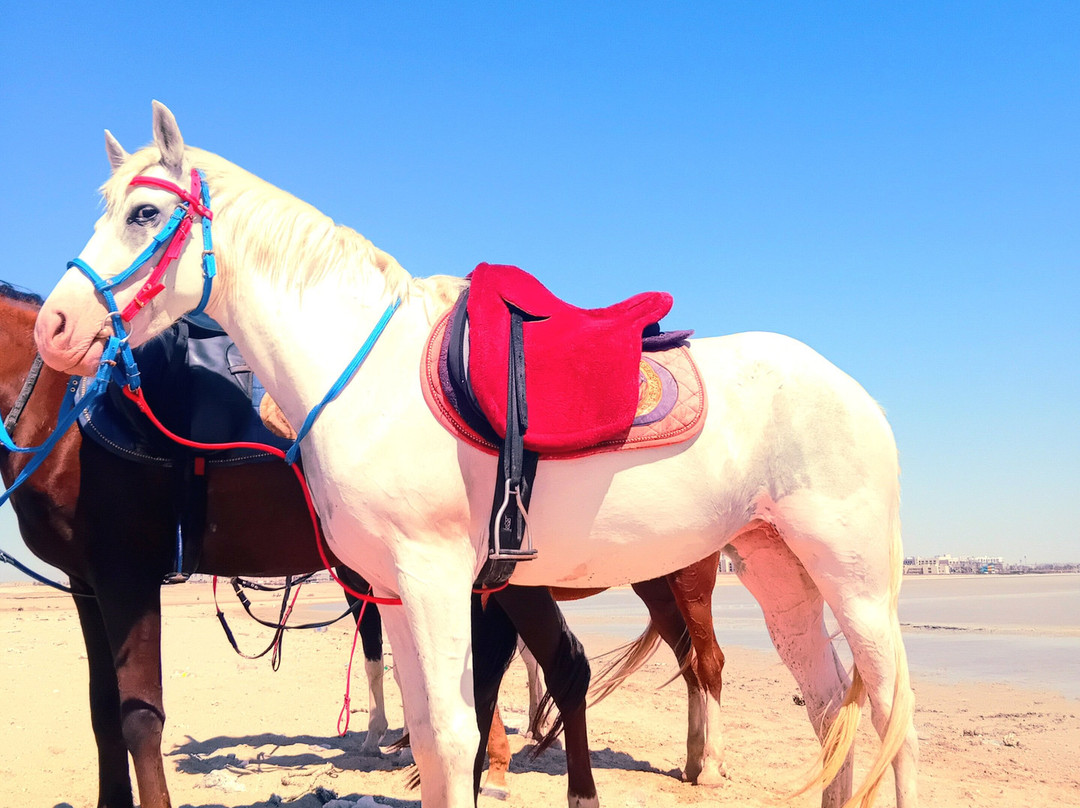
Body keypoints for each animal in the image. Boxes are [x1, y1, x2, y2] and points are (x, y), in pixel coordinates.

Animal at [2, 281, 731, 807]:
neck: (60, 408)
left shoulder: (128, 574)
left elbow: (138, 716)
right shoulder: (87, 584)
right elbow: (103, 713)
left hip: (665, 576)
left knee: (672, 663)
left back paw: (689, 767)